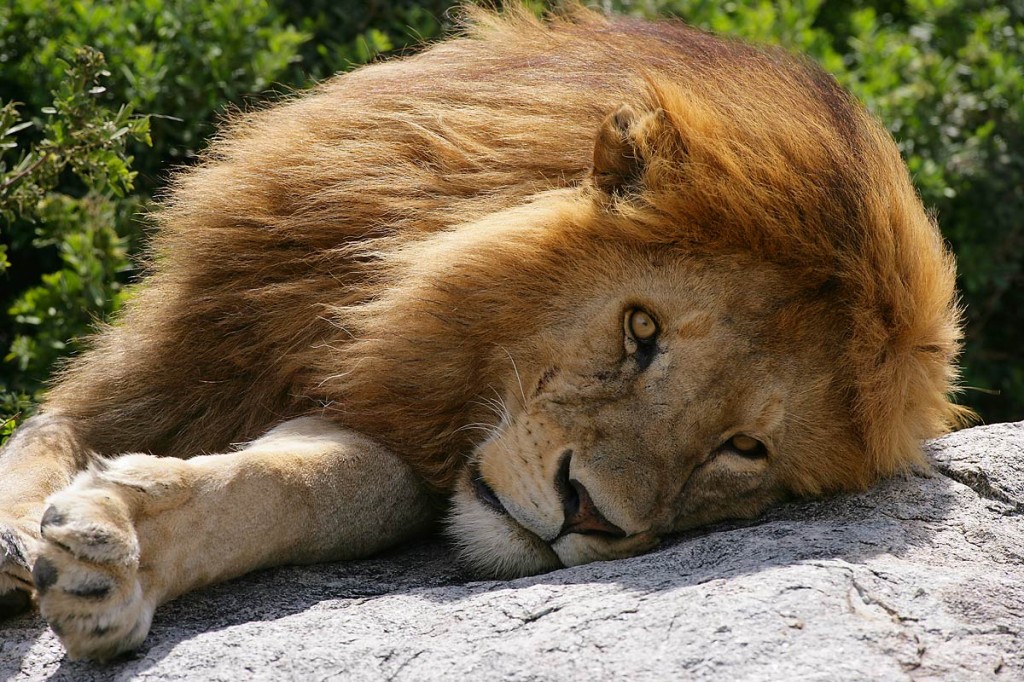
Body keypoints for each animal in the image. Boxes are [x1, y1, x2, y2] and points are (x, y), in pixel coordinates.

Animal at [0, 1, 966, 659]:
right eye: (641, 330)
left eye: (745, 449)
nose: (587, 513)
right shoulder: (186, 357)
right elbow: (48, 433)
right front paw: (22, 537)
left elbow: (311, 486)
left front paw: (116, 549)